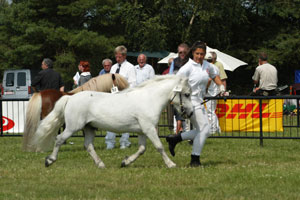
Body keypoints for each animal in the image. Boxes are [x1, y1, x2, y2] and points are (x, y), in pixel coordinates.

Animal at [32, 76, 192, 168]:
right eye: (187, 94)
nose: (189, 113)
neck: (150, 99)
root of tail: (70, 98)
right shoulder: (149, 129)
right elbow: (159, 147)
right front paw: (171, 164)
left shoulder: (142, 131)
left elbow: (141, 149)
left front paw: (125, 162)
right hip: (73, 127)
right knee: (59, 139)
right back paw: (49, 160)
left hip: (89, 128)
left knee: (88, 145)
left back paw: (101, 164)